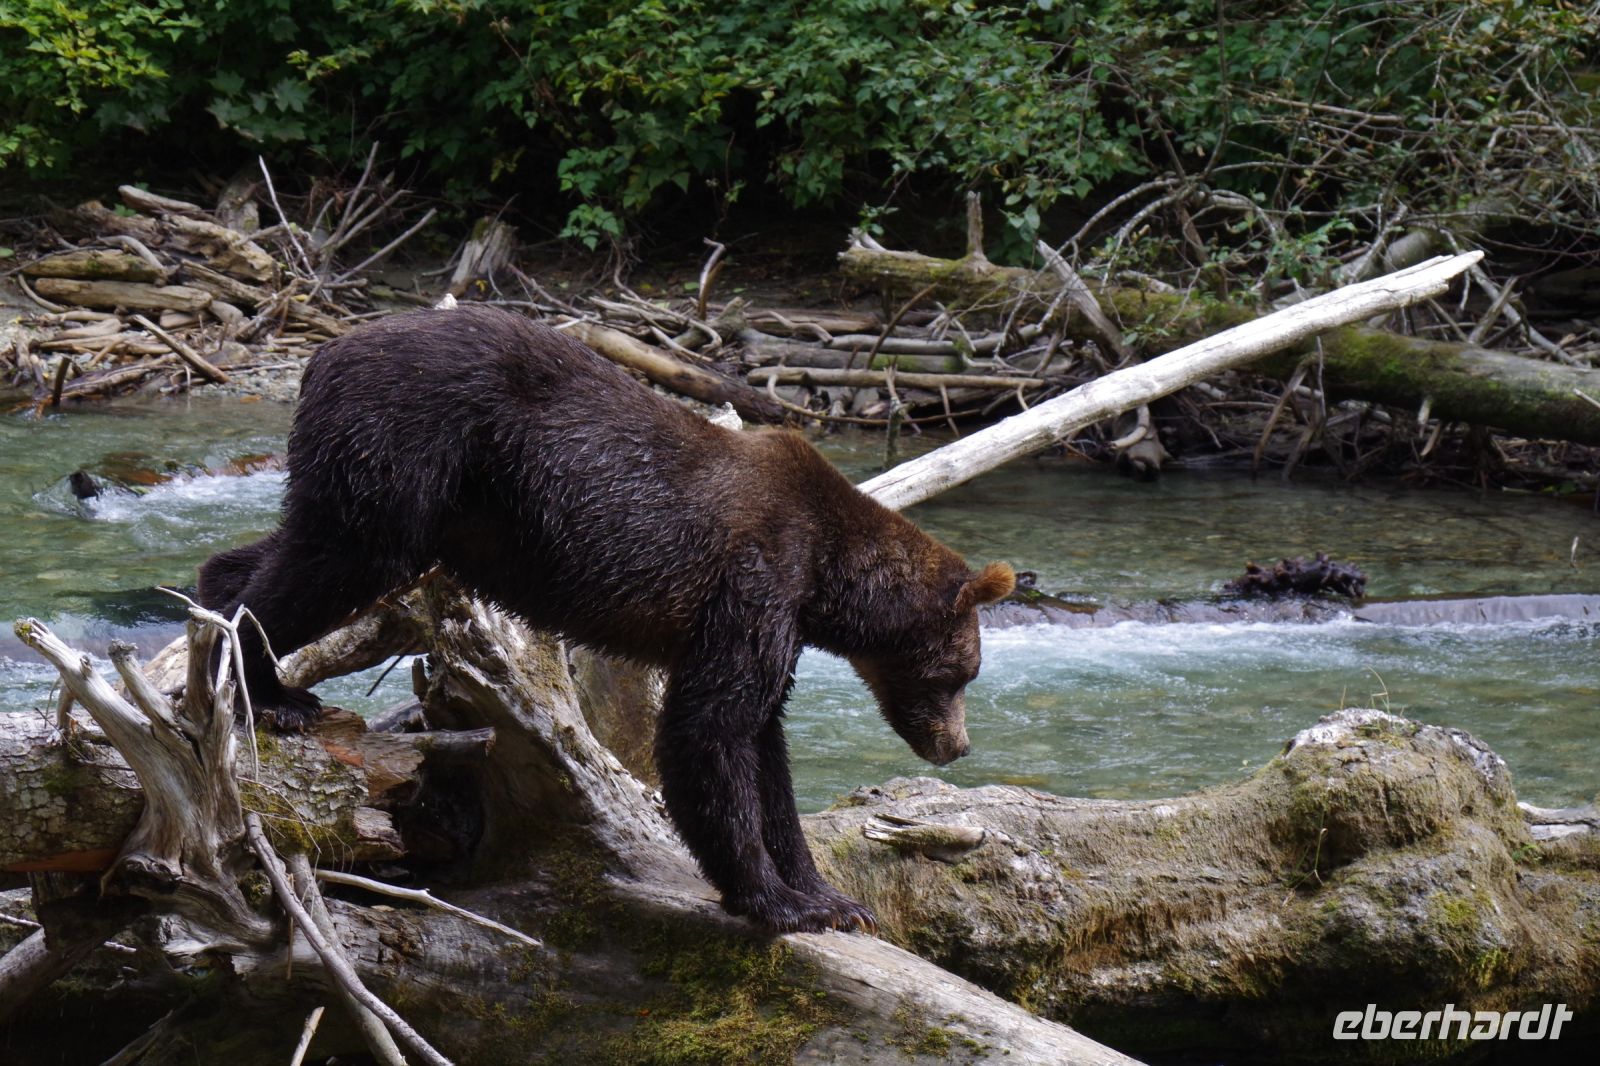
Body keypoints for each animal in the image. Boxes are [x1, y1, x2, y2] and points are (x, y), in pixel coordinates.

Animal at [198, 305, 1015, 933]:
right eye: (961, 674)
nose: (958, 746)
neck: (825, 580)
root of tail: (322, 353)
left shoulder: (771, 623)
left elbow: (762, 744)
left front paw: (829, 896)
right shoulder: (755, 581)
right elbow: (710, 730)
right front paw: (778, 901)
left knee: (288, 546)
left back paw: (223, 608)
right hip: (404, 450)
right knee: (338, 560)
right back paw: (269, 691)